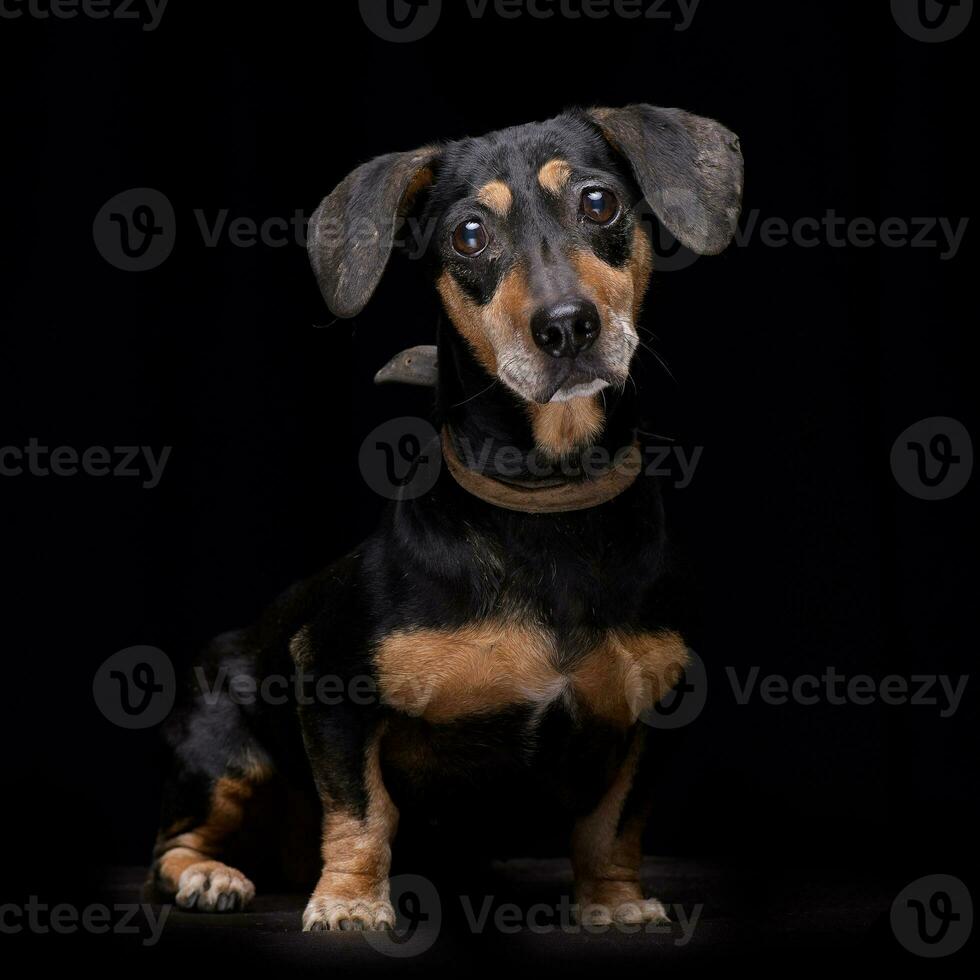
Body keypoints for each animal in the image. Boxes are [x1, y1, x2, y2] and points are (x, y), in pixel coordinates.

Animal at [149, 103, 740, 932]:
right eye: (468, 235)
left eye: (599, 203)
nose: (567, 326)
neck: (545, 507)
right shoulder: (329, 684)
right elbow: (363, 813)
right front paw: (350, 905)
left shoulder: (656, 713)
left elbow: (613, 824)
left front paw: (615, 903)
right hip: (221, 748)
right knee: (172, 841)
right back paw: (209, 875)